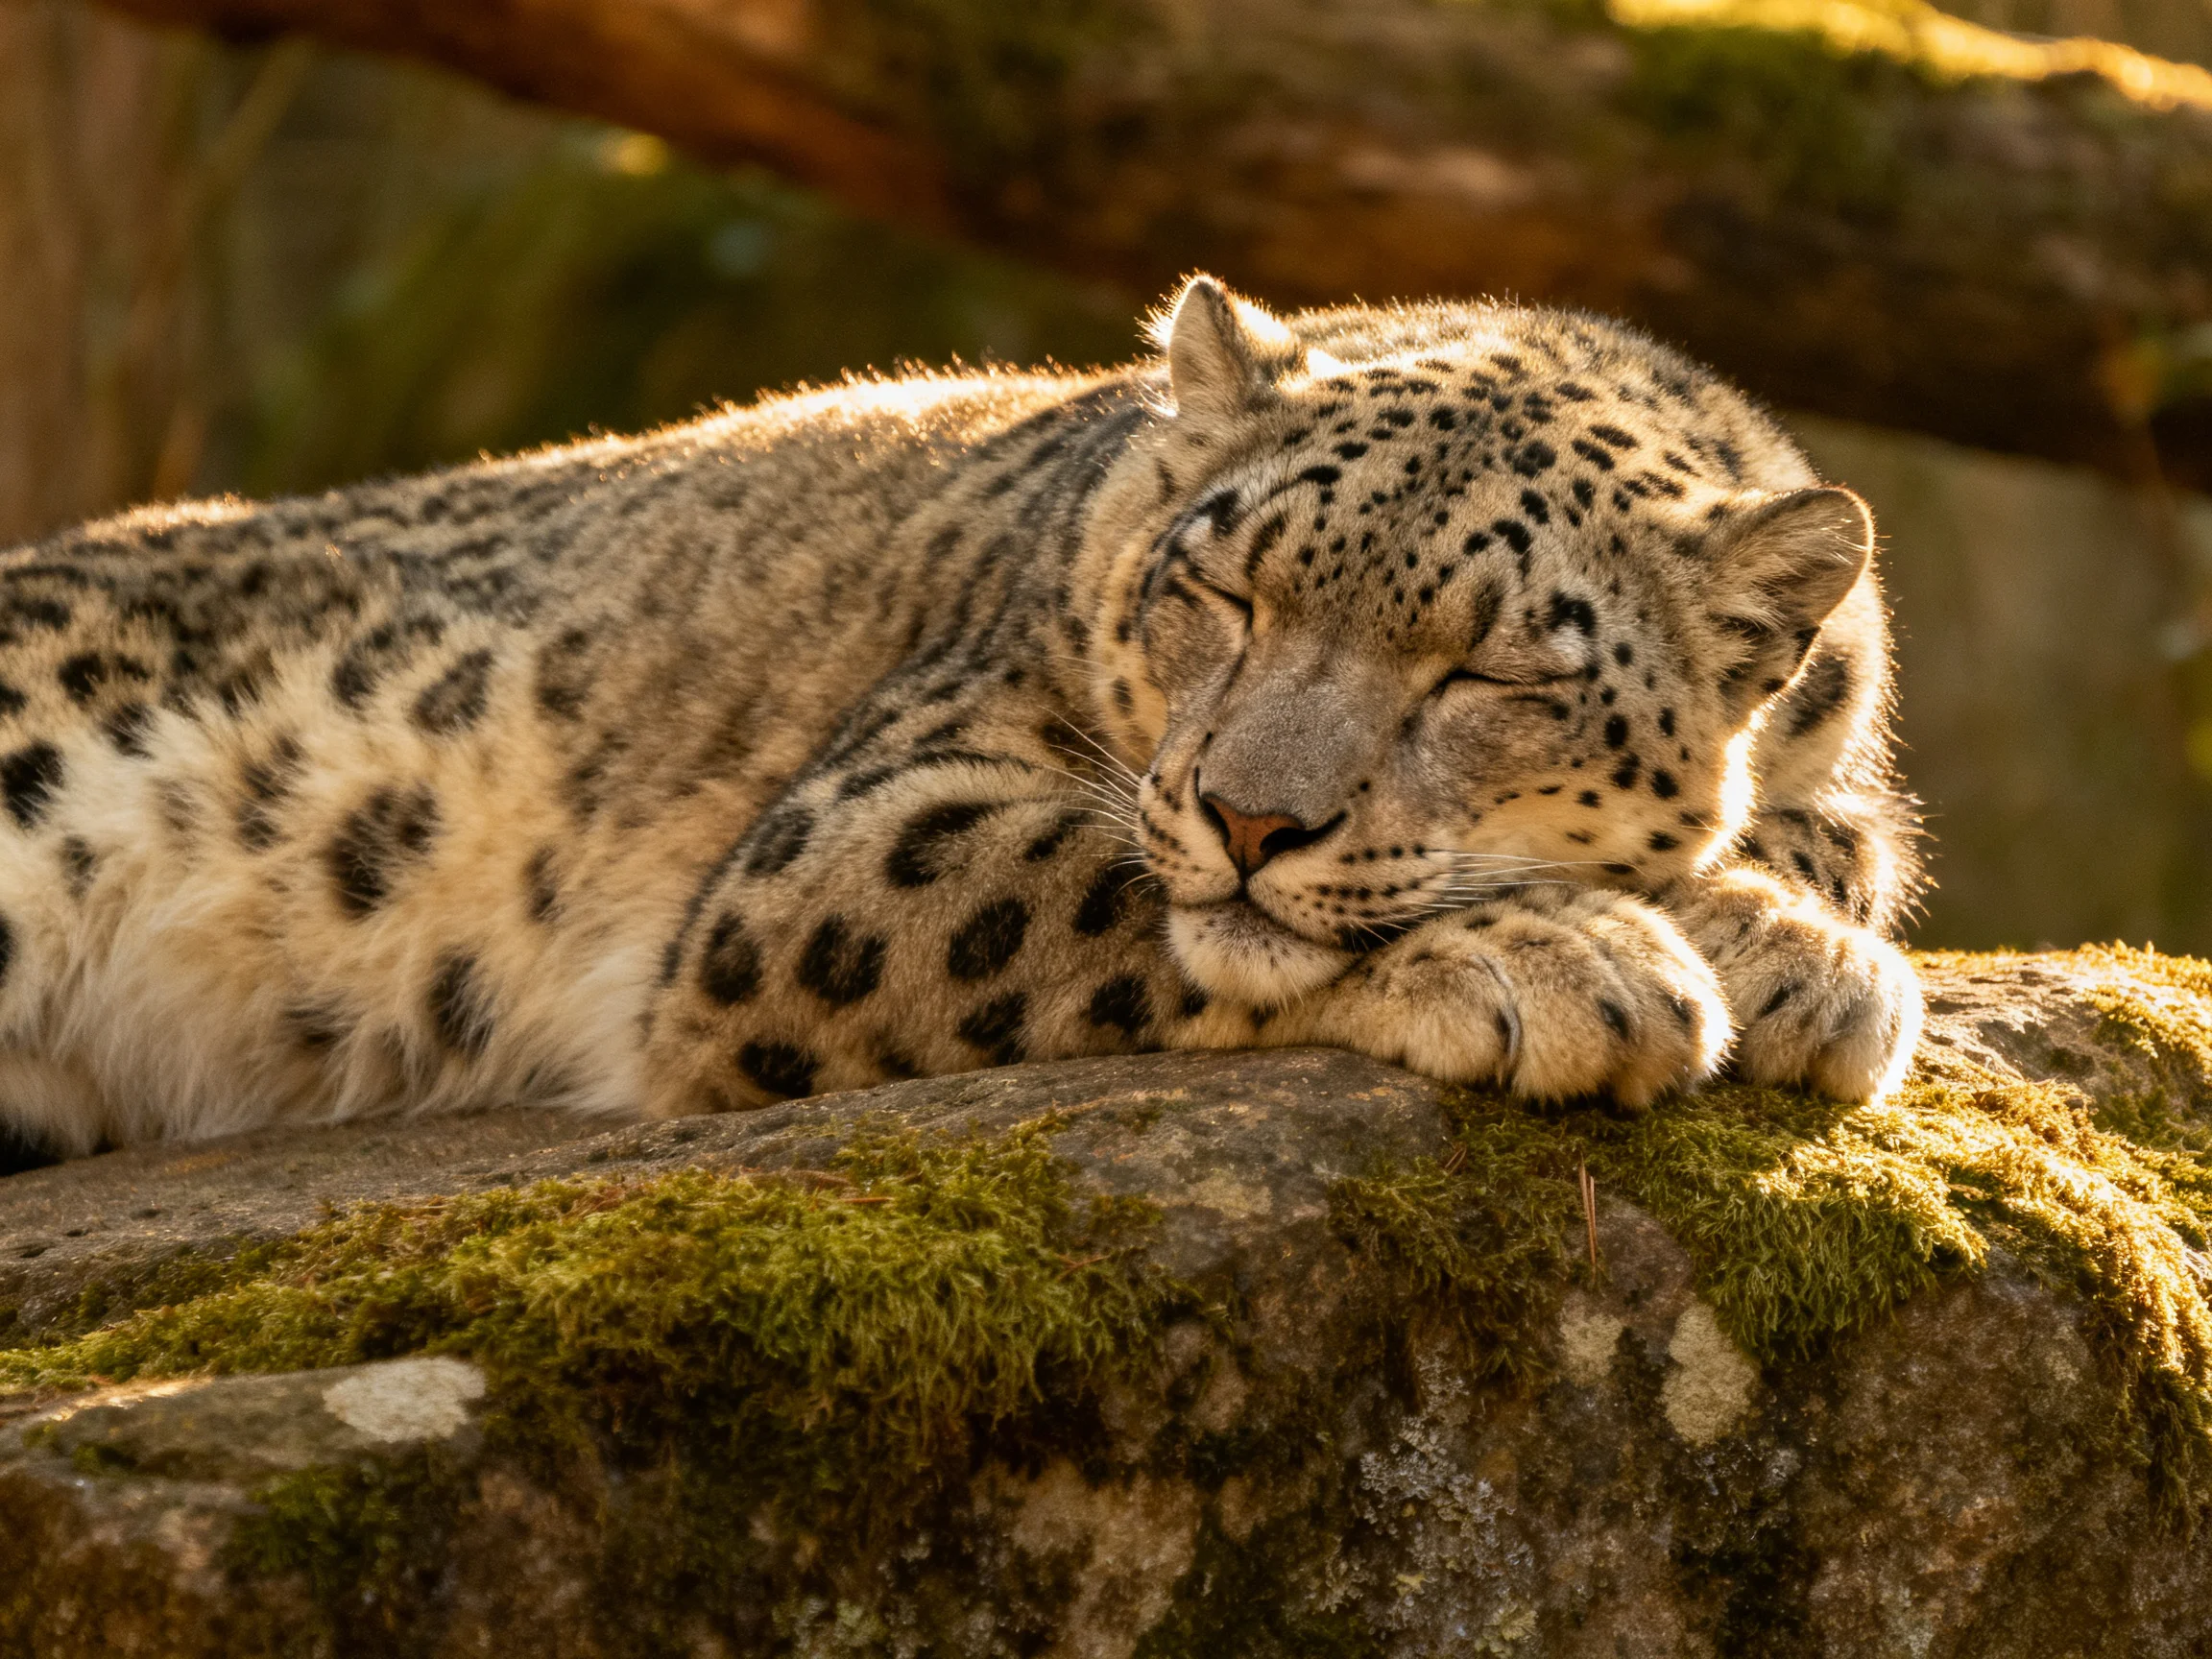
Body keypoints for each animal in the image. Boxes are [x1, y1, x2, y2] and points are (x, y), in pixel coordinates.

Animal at [0, 276, 1923, 1164]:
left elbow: (1830, 839)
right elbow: (1112, 893)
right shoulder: (851, 838)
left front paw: (1789, 927)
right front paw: (1591, 960)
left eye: (1493, 675)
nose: (1251, 817)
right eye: (1227, 591)